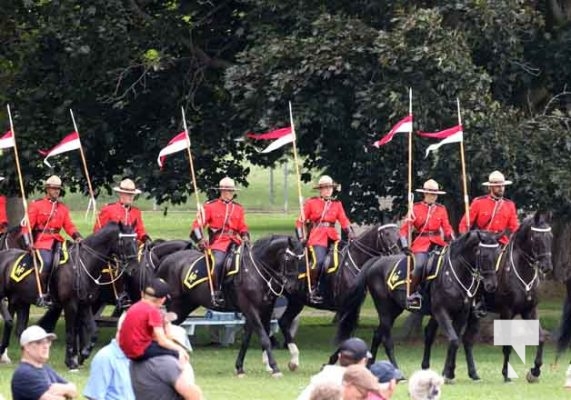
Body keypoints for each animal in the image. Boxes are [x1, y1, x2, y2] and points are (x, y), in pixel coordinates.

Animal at [0, 222, 140, 368]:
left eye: (136, 241)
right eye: (125, 242)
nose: (134, 268)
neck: (83, 264)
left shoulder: (85, 305)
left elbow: (93, 331)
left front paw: (83, 355)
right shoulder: (70, 305)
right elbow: (70, 332)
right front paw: (70, 361)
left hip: (19, 301)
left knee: (17, 328)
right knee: (11, 323)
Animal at [158, 234, 304, 376]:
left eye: (301, 260)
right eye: (289, 259)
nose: (293, 287)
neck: (255, 271)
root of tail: (165, 260)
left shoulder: (265, 310)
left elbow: (249, 339)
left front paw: (240, 368)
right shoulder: (250, 309)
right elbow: (264, 338)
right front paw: (274, 367)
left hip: (183, 307)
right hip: (174, 305)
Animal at [278, 222, 402, 368]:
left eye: (397, 233)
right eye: (386, 234)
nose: (398, 253)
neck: (356, 261)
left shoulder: (354, 307)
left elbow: (350, 333)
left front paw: (335, 359)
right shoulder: (345, 307)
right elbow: (345, 334)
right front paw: (334, 359)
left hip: (296, 302)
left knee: (284, 322)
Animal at [336, 228, 500, 382]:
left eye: (498, 255)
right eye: (484, 255)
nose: (491, 285)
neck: (455, 273)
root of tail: (376, 261)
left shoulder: (462, 313)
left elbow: (455, 340)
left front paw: (451, 371)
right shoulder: (441, 311)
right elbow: (453, 340)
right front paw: (447, 373)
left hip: (395, 310)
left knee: (377, 334)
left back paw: (370, 367)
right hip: (384, 309)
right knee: (387, 340)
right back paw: (397, 372)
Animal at [458, 211, 556, 382]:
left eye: (550, 236)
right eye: (536, 238)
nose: (547, 267)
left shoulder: (529, 311)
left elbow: (541, 338)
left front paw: (535, 371)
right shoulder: (507, 312)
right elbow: (507, 345)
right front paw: (506, 374)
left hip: (474, 315)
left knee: (467, 340)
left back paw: (473, 373)